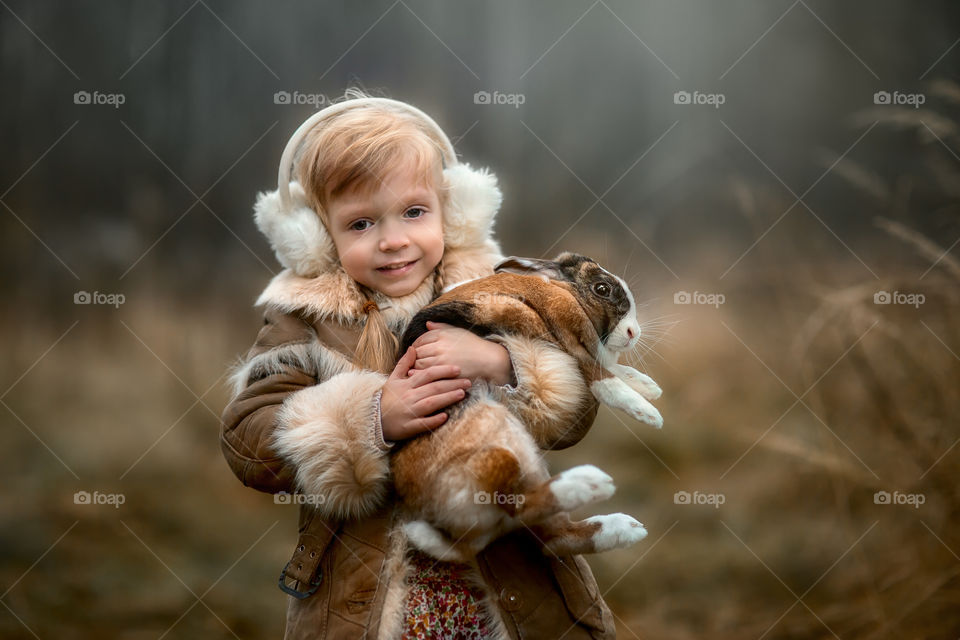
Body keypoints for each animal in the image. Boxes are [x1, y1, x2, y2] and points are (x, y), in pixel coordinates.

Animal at [386, 252, 664, 564]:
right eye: (601, 289)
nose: (633, 333)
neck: (566, 291)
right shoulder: (564, 324)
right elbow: (598, 373)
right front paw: (647, 412)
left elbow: (609, 366)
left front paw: (648, 386)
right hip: (497, 458)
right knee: (520, 507)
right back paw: (589, 482)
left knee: (551, 537)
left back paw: (621, 526)